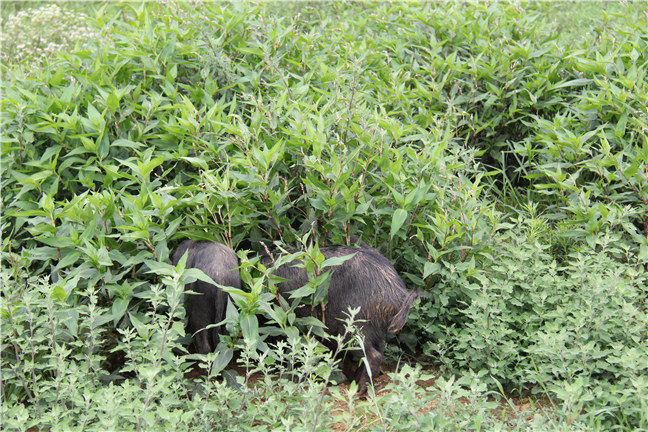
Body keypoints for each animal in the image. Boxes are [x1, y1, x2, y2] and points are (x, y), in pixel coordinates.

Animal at [262, 245, 416, 394]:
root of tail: (398, 294)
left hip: (354, 326)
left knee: (374, 355)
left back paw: (359, 390)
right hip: (375, 331)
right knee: (377, 351)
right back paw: (356, 380)